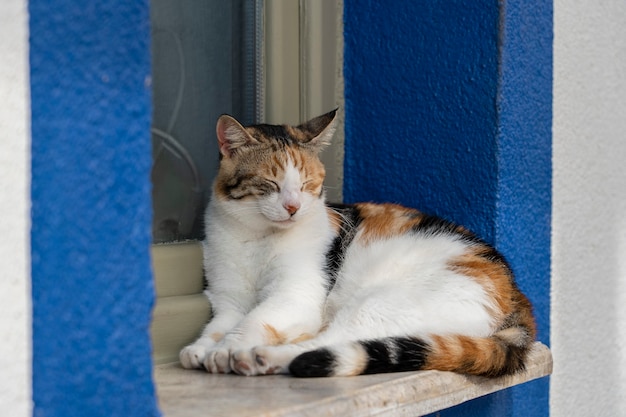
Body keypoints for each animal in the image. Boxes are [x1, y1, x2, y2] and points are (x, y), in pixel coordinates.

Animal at [178, 109, 532, 376]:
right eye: (270, 184)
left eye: (307, 185)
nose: (293, 207)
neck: (256, 237)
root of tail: (516, 293)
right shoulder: (228, 300)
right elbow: (218, 326)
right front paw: (199, 348)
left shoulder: (295, 295)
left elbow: (252, 321)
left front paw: (225, 350)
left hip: (378, 303)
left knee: (325, 343)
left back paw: (259, 357)